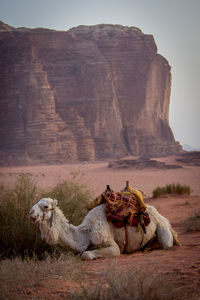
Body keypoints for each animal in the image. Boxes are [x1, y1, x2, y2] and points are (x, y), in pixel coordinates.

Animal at [28, 198, 180, 258]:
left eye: (45, 206)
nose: (31, 213)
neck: (86, 233)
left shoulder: (112, 245)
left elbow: (86, 254)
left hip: (162, 229)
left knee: (166, 243)